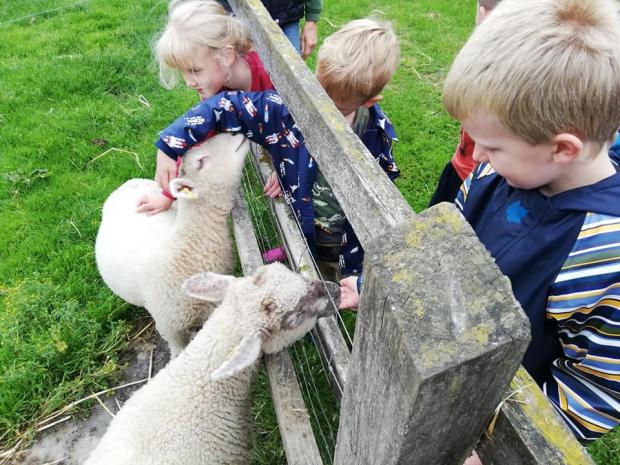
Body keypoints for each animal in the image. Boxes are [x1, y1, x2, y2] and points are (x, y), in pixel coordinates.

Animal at [94, 132, 249, 358]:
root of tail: (127, 183)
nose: (235, 133)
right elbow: (178, 350)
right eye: (201, 162)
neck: (185, 249)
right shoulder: (169, 327)